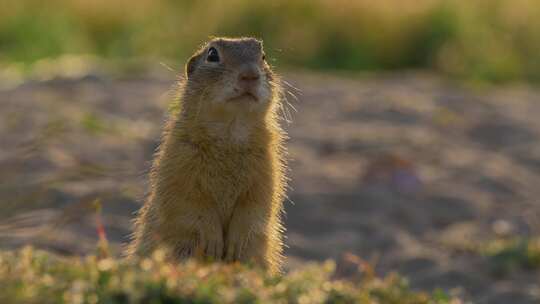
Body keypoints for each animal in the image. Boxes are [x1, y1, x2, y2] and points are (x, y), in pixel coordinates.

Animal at [126, 36, 288, 272]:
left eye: (263, 56)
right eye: (212, 54)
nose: (250, 74)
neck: (230, 131)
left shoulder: (266, 174)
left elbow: (255, 208)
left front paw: (234, 246)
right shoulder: (180, 167)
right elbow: (193, 207)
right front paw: (213, 245)